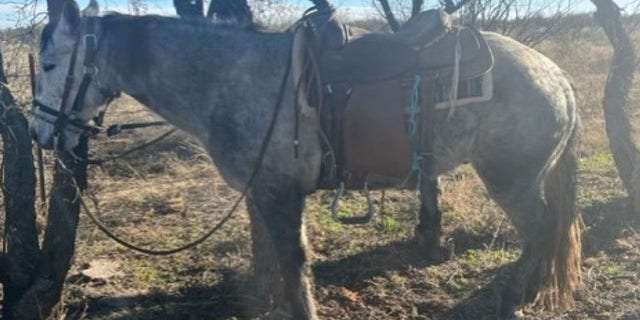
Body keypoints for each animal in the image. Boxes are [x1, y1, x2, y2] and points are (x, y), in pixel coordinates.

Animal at [28, 1, 580, 318]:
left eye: (51, 64)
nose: (39, 132)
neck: (231, 79)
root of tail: (558, 75)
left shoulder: (278, 195)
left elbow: (294, 271)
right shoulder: (265, 194)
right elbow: (280, 266)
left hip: (511, 179)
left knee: (540, 229)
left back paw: (515, 296)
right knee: (547, 229)